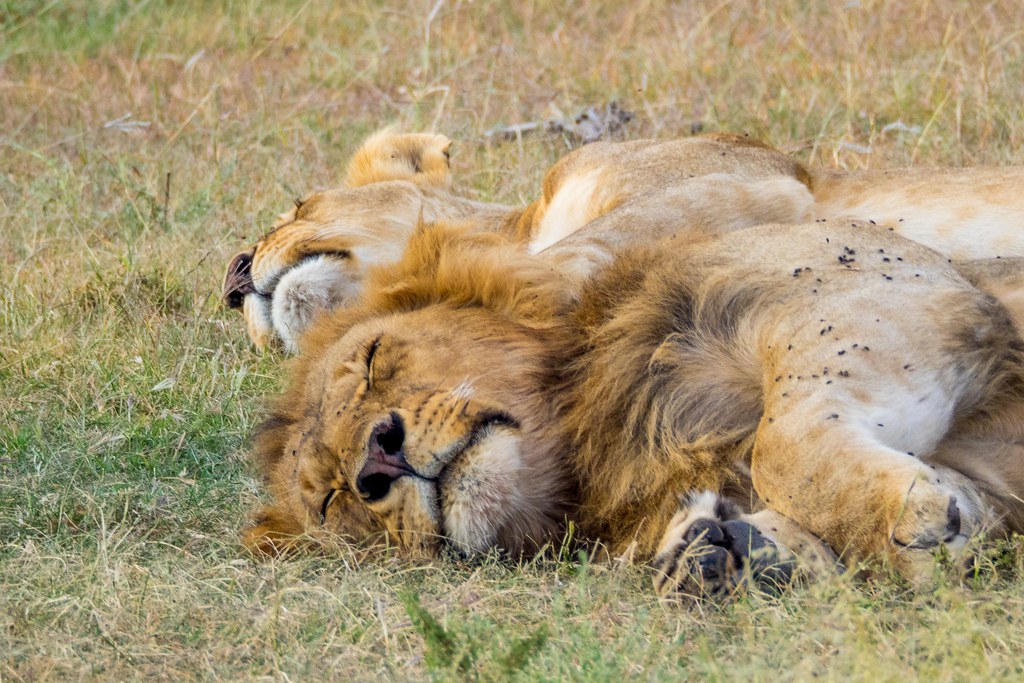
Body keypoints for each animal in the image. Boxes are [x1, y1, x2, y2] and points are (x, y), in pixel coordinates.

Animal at [243, 220, 1024, 598]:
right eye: (333, 500)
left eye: (377, 359)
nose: (377, 460)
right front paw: (722, 551)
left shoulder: (890, 284)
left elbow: (783, 443)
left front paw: (913, 521)